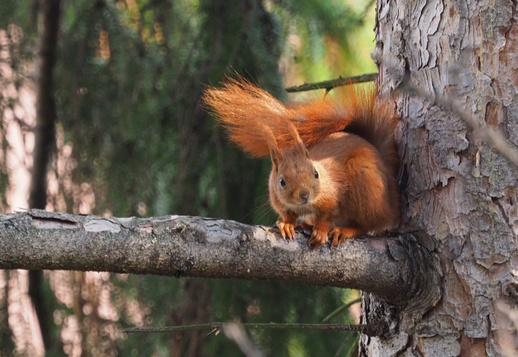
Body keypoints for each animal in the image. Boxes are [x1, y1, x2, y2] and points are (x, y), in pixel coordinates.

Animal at [203, 77, 402, 248]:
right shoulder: (279, 200)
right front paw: (287, 224)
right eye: (281, 181)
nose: (304, 195)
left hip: (366, 186)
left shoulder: (332, 194)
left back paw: (343, 230)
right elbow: (288, 214)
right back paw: (306, 226)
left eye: (316, 173)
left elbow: (328, 215)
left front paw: (321, 230)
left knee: (368, 223)